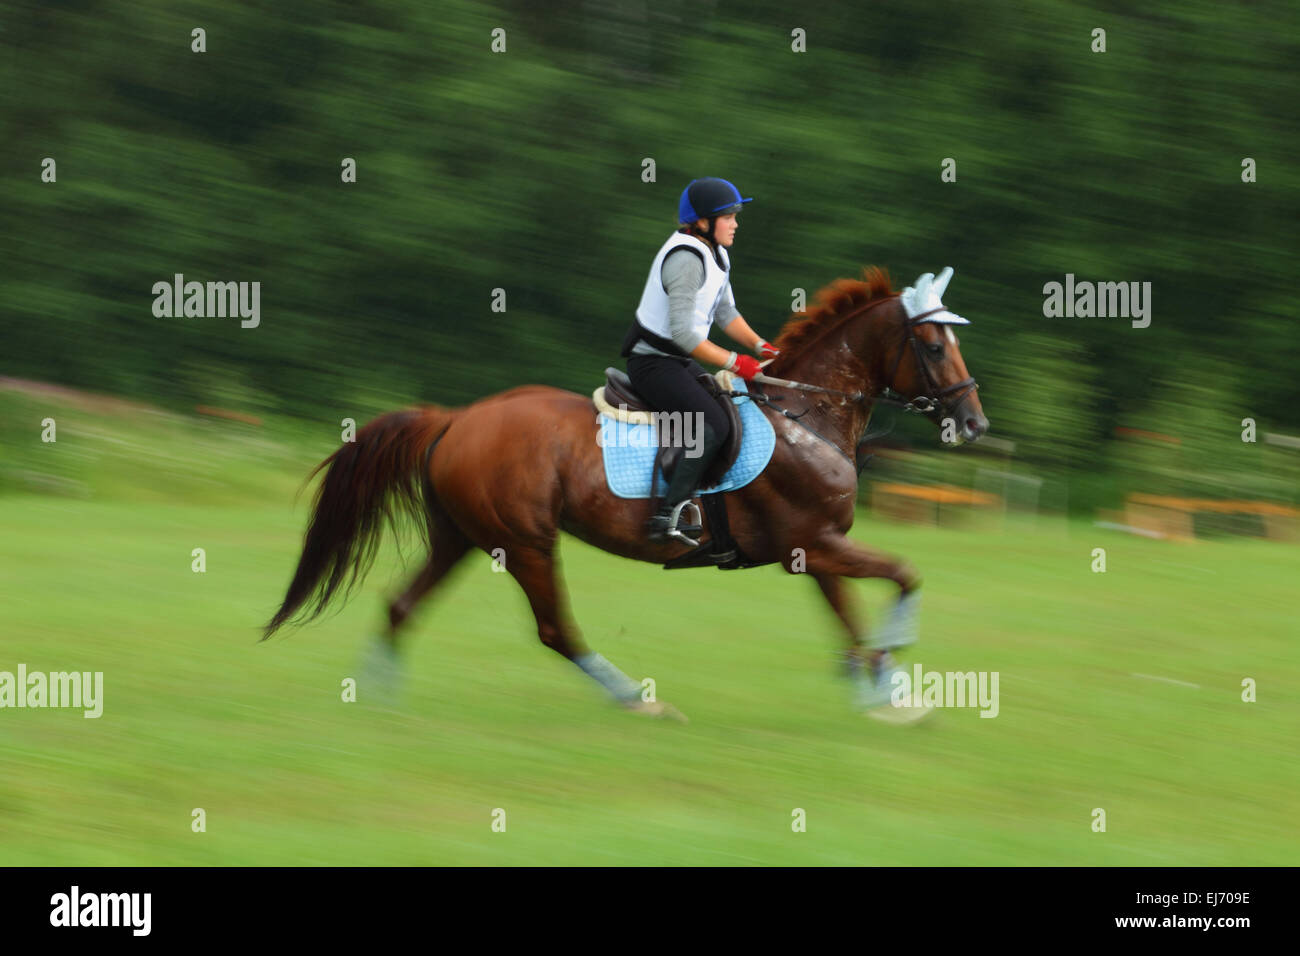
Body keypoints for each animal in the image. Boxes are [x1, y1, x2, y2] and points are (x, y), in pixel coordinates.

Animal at [269, 265, 987, 723]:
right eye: (932, 344)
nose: (974, 423)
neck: (805, 415)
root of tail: (457, 418)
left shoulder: (816, 548)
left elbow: (852, 619)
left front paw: (882, 690)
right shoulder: (812, 544)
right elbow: (904, 577)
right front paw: (894, 676)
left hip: (466, 537)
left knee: (401, 605)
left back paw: (381, 703)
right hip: (525, 542)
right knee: (556, 630)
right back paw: (640, 702)